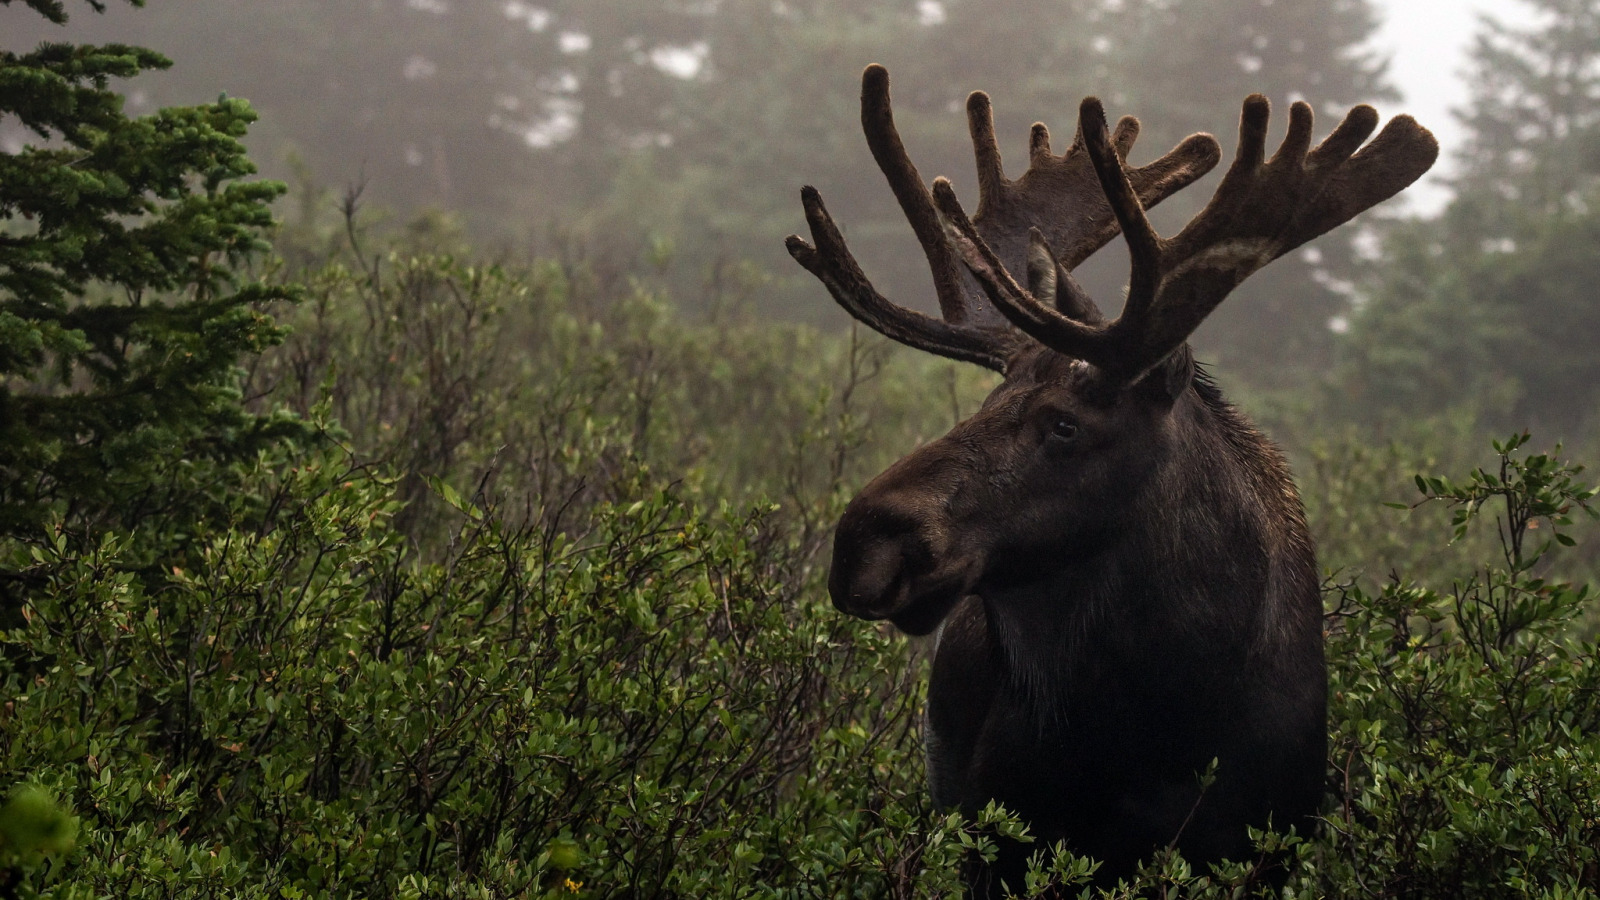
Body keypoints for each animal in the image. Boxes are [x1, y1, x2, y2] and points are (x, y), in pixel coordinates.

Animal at [787, 64, 1440, 890]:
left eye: (1065, 423)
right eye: (986, 403)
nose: (863, 543)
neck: (1157, 725)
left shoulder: (1265, 843)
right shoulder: (1000, 837)